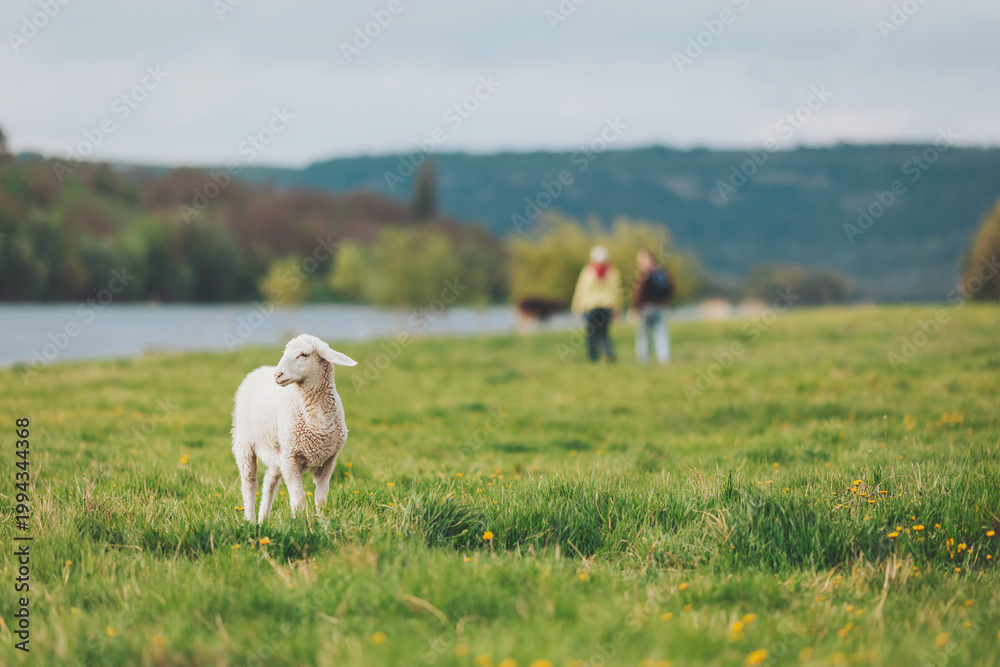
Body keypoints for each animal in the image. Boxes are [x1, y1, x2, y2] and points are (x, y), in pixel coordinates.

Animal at [231, 334, 357, 523]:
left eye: (304, 354)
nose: (277, 375)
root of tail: (259, 370)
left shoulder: (329, 460)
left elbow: (321, 498)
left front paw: (322, 521)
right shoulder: (291, 458)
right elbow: (298, 498)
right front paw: (298, 522)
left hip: (279, 450)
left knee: (269, 482)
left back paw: (263, 519)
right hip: (245, 442)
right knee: (249, 483)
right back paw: (251, 520)